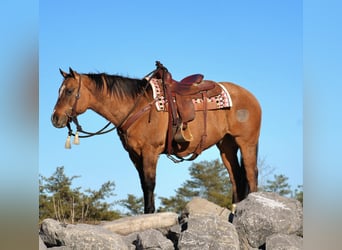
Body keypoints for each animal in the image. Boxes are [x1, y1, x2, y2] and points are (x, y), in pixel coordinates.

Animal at [50, 62, 260, 213]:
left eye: (69, 91)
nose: (55, 118)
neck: (137, 106)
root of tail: (251, 97)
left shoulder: (150, 151)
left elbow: (150, 183)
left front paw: (150, 213)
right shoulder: (135, 154)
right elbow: (143, 184)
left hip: (247, 143)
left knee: (251, 174)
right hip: (226, 147)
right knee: (236, 177)